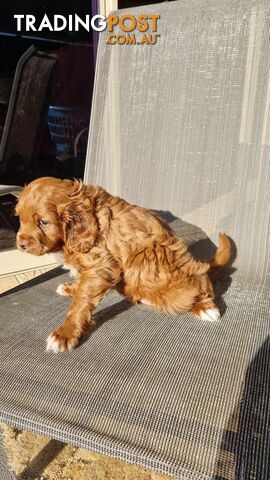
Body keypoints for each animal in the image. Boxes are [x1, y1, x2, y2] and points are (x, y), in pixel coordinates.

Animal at [16, 176, 232, 352]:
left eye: (43, 222)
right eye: (19, 218)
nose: (21, 245)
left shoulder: (101, 266)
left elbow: (81, 302)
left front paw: (64, 334)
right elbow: (82, 288)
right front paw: (71, 288)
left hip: (150, 261)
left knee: (201, 283)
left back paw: (206, 307)